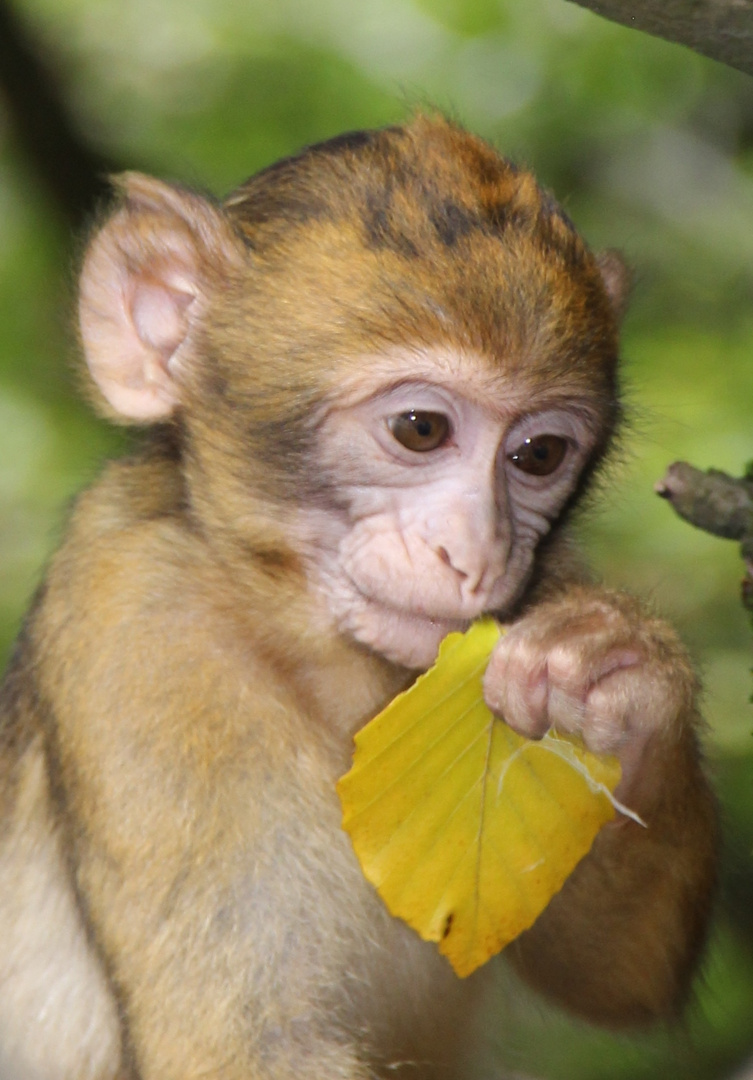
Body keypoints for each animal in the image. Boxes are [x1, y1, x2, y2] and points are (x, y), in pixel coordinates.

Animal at [0, 118, 713, 1080]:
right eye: (420, 429)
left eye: (537, 455)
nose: (476, 552)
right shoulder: (133, 621)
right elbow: (246, 1043)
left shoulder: (541, 585)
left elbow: (616, 970)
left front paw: (615, 668)